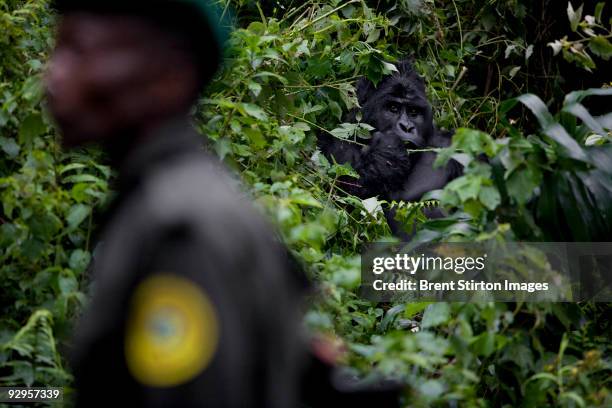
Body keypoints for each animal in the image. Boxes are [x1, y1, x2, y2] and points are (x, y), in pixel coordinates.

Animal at [318, 57, 462, 236]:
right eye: (393, 108)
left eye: (413, 112)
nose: (407, 127)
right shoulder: (336, 145)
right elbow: (343, 197)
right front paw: (387, 153)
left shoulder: (454, 145)